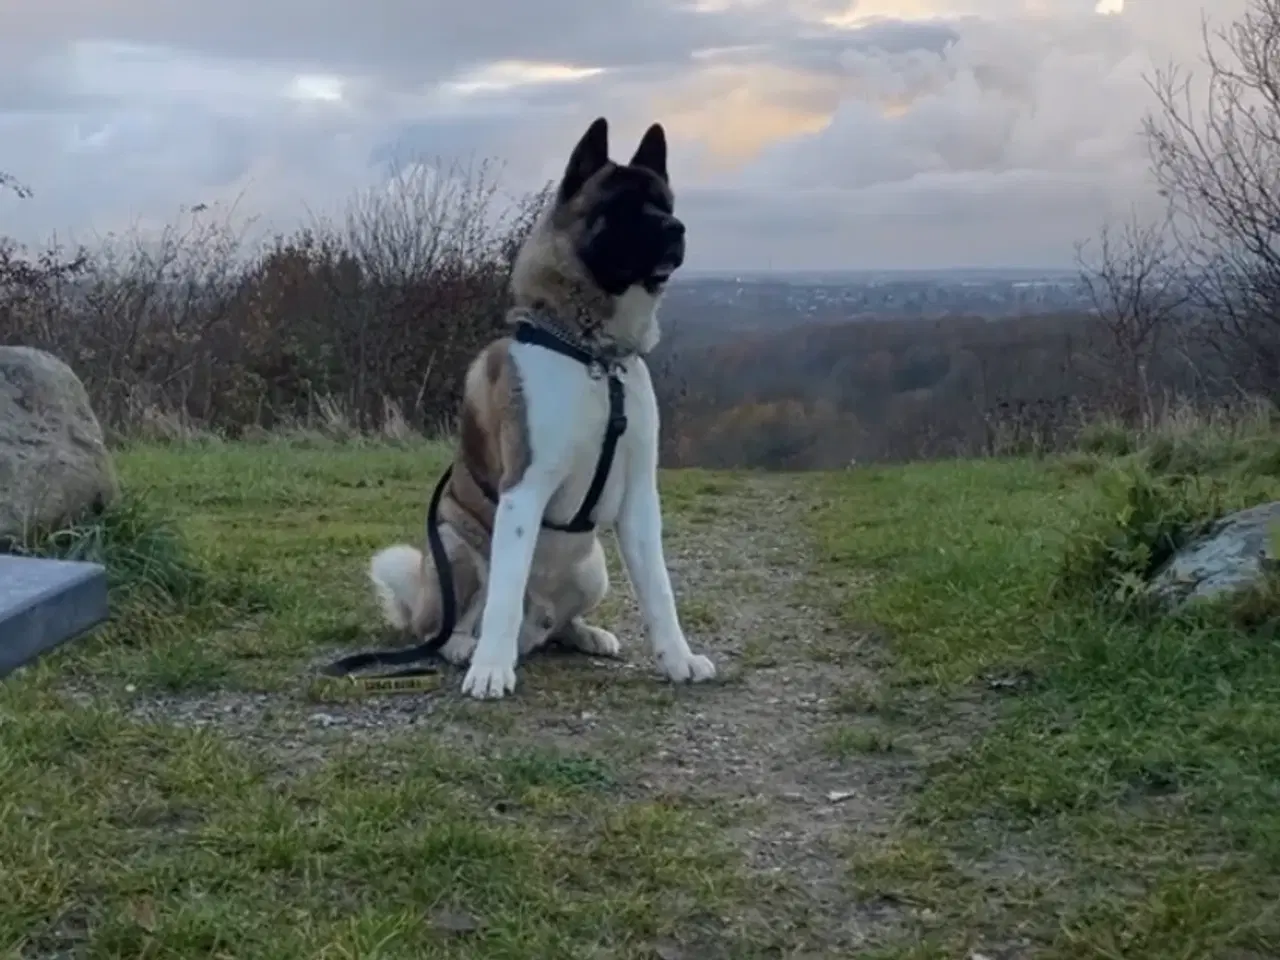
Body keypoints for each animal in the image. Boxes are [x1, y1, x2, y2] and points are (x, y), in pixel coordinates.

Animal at [350, 116, 721, 701]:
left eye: (665, 202)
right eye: (620, 208)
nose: (676, 228)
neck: (594, 356)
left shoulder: (640, 499)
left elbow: (659, 591)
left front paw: (678, 659)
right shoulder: (523, 490)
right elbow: (503, 594)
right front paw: (490, 670)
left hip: (593, 569)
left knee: (556, 627)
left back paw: (584, 633)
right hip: (455, 546)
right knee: (454, 621)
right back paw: (465, 647)